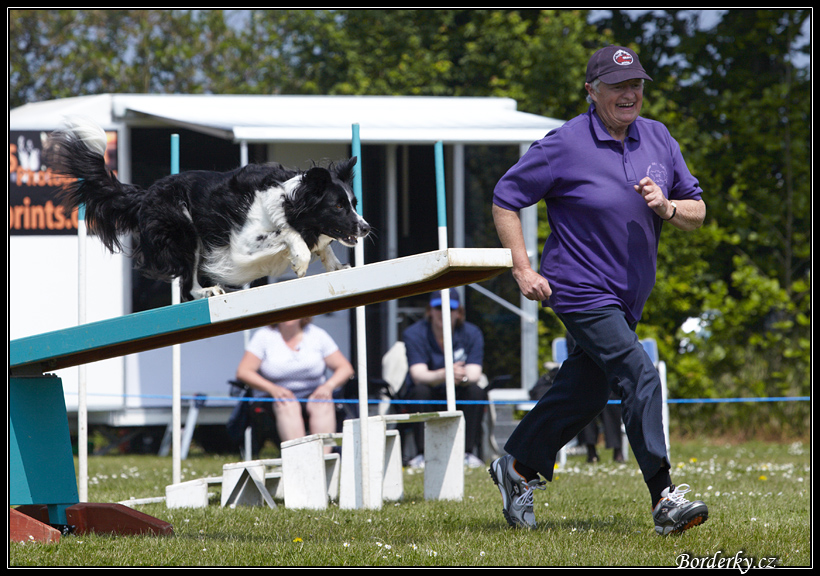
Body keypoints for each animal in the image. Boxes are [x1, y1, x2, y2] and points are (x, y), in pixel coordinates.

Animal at [47, 115, 372, 300]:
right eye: (338, 206)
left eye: (353, 204)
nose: (366, 228)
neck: (291, 199)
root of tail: (146, 193)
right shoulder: (243, 245)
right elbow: (288, 234)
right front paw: (300, 261)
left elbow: (322, 245)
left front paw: (337, 265)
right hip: (185, 229)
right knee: (186, 285)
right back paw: (207, 290)